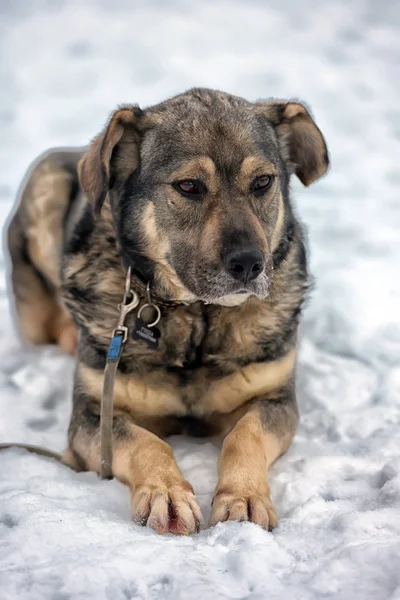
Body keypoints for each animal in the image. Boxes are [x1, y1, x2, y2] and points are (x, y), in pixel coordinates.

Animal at [5, 88, 328, 536]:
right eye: (189, 186)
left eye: (263, 182)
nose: (249, 264)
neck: (196, 316)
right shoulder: (94, 414)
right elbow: (146, 442)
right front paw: (167, 493)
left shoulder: (274, 396)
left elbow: (244, 435)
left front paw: (243, 497)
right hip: (45, 184)